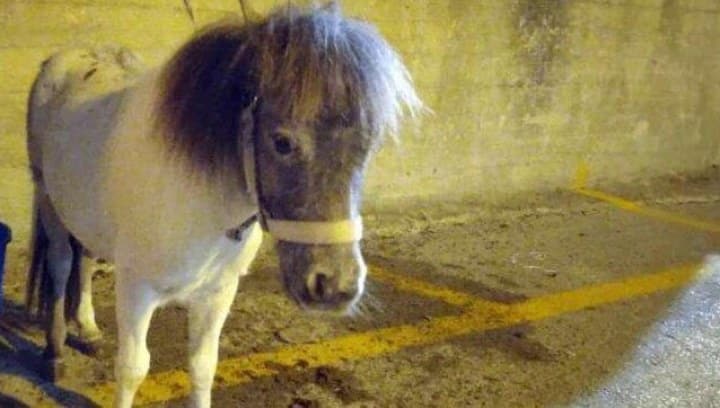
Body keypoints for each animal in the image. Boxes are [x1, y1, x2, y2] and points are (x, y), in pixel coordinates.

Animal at [25, 3, 421, 407]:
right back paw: (55, 352)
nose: (336, 286)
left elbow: (203, 366)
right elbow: (132, 369)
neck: (201, 199)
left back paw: (88, 329)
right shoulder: (137, 288)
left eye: (369, 145)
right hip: (49, 200)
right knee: (61, 264)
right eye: (282, 142)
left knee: (86, 259)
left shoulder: (218, 292)